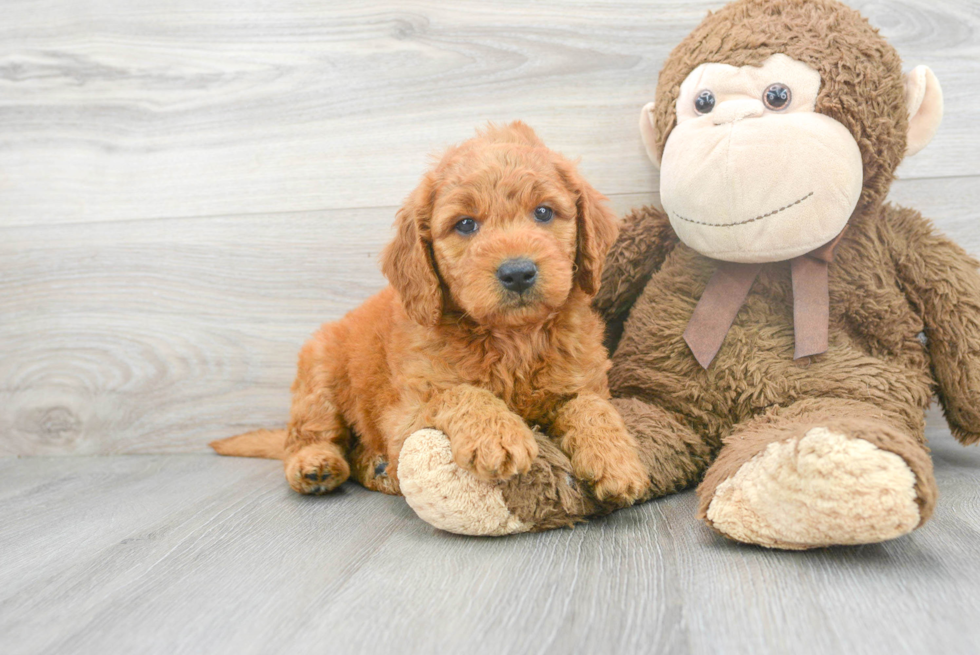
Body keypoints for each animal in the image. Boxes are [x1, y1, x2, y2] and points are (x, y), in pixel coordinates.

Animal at [211, 123, 648, 502]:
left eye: (543, 212)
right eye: (466, 224)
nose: (518, 273)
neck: (512, 338)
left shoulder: (583, 381)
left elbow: (592, 406)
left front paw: (617, 459)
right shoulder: (406, 412)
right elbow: (459, 392)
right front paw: (498, 435)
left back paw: (376, 469)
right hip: (318, 375)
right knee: (307, 436)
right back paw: (316, 464)